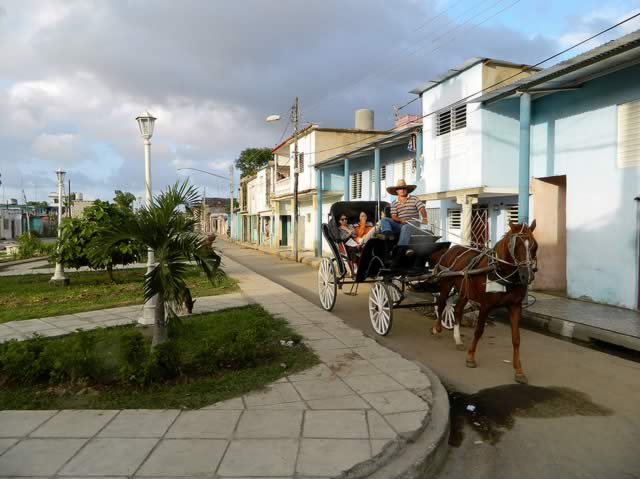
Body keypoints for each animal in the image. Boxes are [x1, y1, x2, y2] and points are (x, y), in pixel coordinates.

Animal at [430, 222, 540, 386]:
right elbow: (479, 331)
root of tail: (452, 249)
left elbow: (516, 338)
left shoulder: (515, 306)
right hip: (446, 283)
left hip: (464, 291)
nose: (527, 276)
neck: (501, 271)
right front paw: (470, 357)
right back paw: (437, 329)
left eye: (535, 246)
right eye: (516, 246)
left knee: (457, 310)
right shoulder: (486, 305)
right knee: (442, 303)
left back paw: (458, 339)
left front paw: (519, 371)